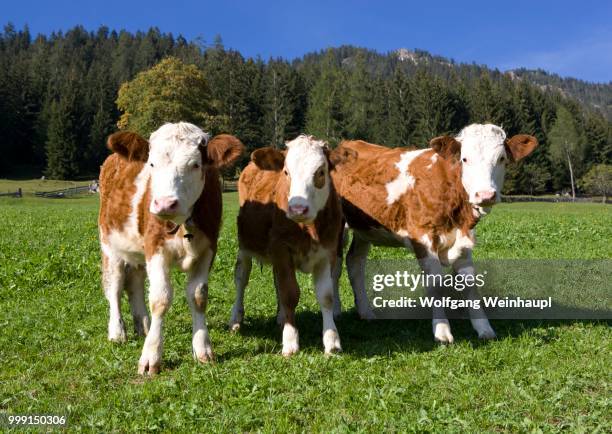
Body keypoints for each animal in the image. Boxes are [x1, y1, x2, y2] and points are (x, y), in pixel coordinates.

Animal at [98, 121, 244, 372]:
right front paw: (151, 356)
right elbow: (160, 298)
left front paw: (203, 349)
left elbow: (198, 296)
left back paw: (143, 325)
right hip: (110, 245)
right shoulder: (155, 248)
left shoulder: (208, 249)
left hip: (137, 253)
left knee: (134, 284)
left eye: (195, 165)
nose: (165, 203)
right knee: (114, 286)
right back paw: (117, 332)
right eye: (151, 164)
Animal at [228, 136, 354, 356]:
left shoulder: (327, 253)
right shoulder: (281, 250)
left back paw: (280, 317)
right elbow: (289, 293)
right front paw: (290, 341)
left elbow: (326, 296)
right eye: (286, 172)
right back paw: (236, 319)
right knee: (241, 278)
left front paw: (332, 340)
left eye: (321, 172)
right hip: (245, 245)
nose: (297, 208)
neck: (307, 228)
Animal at [332, 124, 536, 344]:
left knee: (355, 262)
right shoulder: (423, 237)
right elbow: (435, 283)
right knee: (335, 267)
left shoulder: (464, 239)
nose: (485, 195)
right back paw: (335, 311)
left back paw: (366, 313)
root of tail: (346, 144)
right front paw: (442, 331)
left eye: (501, 159)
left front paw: (484, 328)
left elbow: (470, 283)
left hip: (365, 229)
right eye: (465, 159)